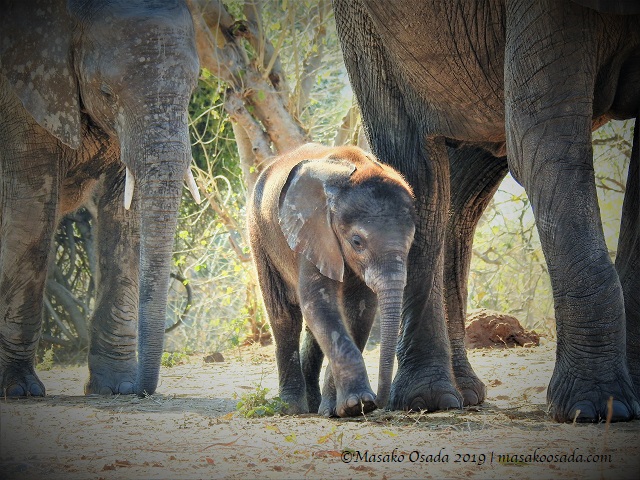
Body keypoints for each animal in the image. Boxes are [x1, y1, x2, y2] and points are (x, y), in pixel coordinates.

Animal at [0, 0, 200, 397]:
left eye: (193, 87)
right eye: (106, 92)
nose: (143, 390)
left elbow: (126, 217)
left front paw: (116, 387)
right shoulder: (20, 98)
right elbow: (31, 214)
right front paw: (19, 390)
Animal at [248, 143, 416, 417]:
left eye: (411, 240)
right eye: (357, 242)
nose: (380, 401)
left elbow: (359, 310)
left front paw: (342, 409)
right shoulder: (312, 232)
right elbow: (318, 304)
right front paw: (358, 404)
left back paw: (314, 405)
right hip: (259, 235)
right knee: (284, 315)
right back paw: (292, 408)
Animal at [333, 0, 640, 422]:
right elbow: (542, 146)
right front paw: (598, 407)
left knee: (463, 182)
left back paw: (459, 393)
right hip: (367, 26)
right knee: (419, 170)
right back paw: (430, 400)